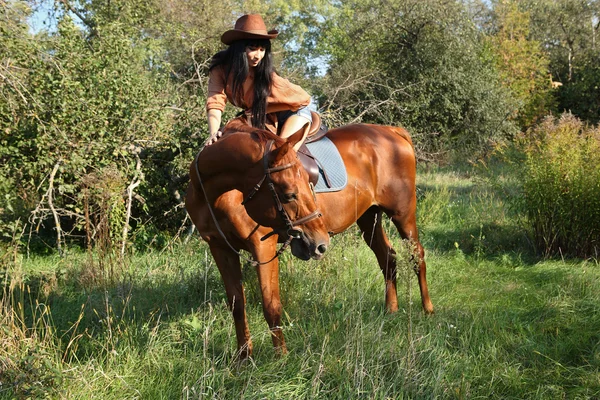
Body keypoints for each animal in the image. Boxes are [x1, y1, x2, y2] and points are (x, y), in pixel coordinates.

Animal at [185, 119, 434, 360]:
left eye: (308, 180)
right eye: (289, 194)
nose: (320, 243)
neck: (219, 195)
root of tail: (392, 131)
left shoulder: (263, 247)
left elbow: (271, 305)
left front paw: (281, 358)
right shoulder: (220, 248)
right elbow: (237, 304)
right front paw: (244, 358)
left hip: (403, 215)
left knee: (417, 255)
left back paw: (428, 309)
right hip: (368, 218)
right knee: (387, 257)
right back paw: (391, 309)